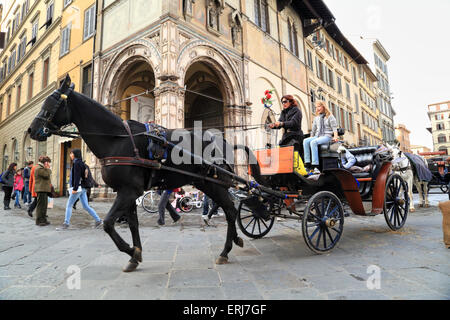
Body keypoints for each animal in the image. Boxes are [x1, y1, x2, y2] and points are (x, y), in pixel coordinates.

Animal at [29, 75, 264, 272]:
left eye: (51, 103)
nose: (31, 130)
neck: (117, 139)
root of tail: (225, 141)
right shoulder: (127, 192)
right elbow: (132, 224)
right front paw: (135, 255)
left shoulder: (129, 191)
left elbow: (108, 223)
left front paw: (130, 250)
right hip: (207, 183)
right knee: (228, 209)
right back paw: (234, 240)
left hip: (216, 183)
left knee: (231, 211)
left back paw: (225, 250)